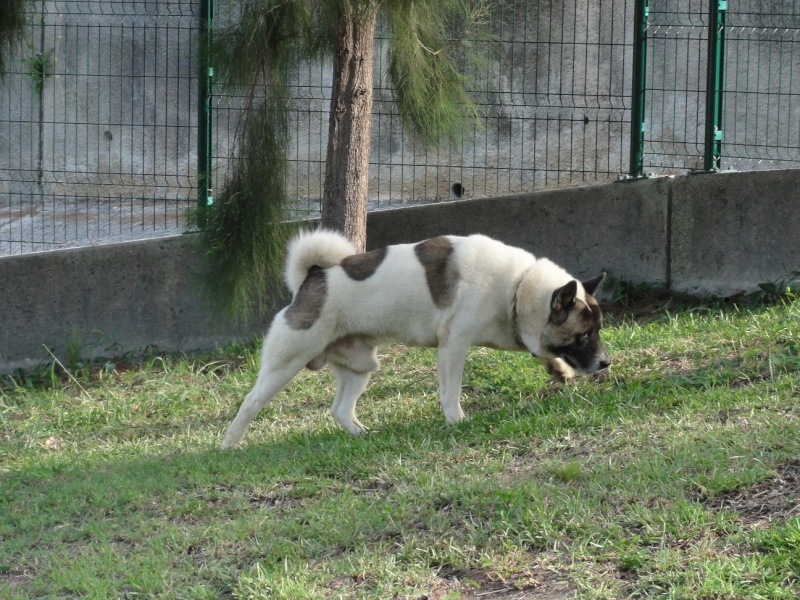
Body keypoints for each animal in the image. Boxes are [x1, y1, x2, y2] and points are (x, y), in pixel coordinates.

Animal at [222, 230, 608, 446]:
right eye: (585, 335)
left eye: (598, 331)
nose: (606, 362)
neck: (516, 287)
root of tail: (314, 277)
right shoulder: (453, 346)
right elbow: (450, 393)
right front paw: (457, 422)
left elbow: (543, 353)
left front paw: (558, 369)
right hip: (286, 363)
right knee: (251, 402)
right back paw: (230, 443)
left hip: (358, 369)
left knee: (340, 409)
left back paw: (362, 434)